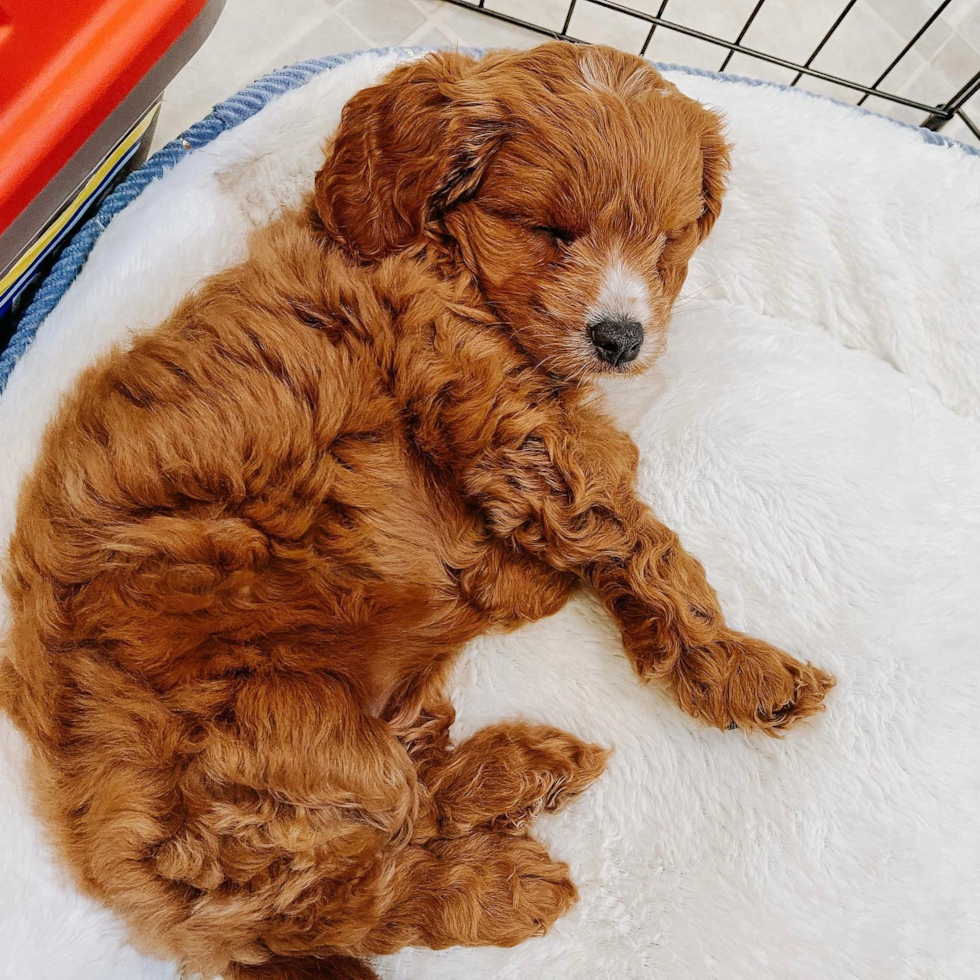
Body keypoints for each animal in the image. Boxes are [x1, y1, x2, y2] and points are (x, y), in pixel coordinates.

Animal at [0, 44, 836, 980]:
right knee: (360, 889)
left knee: (409, 810)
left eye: (668, 239)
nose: (620, 340)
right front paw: (741, 667)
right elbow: (631, 534)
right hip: (277, 737)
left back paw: (519, 770)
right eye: (550, 231)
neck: (441, 258)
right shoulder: (498, 414)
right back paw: (503, 882)